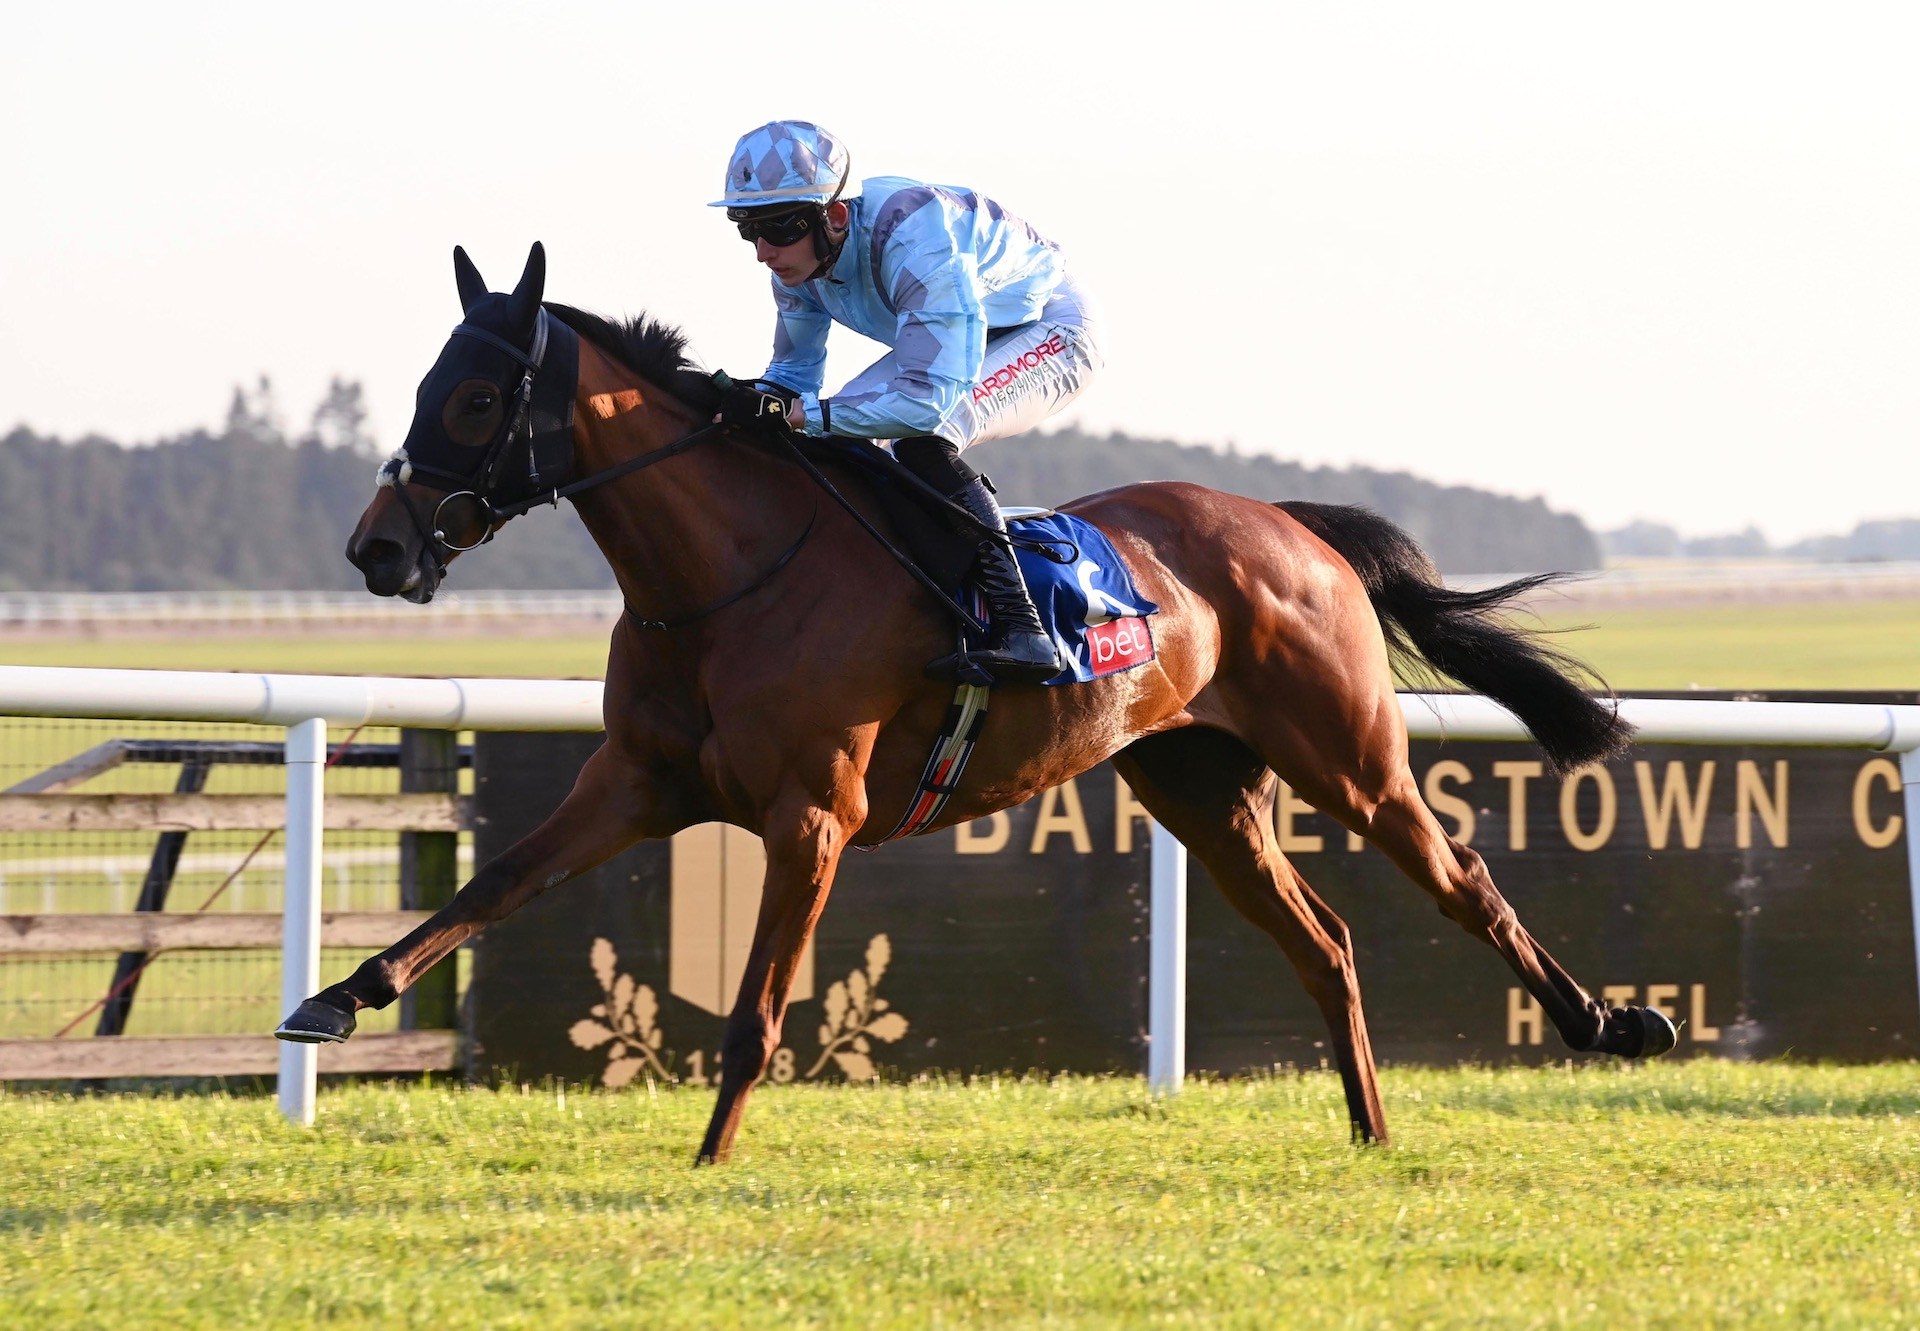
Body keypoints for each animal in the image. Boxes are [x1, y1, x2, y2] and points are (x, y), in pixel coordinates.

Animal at [278, 243, 1674, 1160]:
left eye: (474, 396)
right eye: (424, 385)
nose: (377, 548)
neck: (728, 575)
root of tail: (1291, 523)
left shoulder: (813, 816)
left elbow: (756, 1010)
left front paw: (711, 1158)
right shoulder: (635, 780)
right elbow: (487, 884)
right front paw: (335, 999)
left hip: (1350, 756)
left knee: (1463, 880)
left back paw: (1611, 1022)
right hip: (1200, 786)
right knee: (1324, 940)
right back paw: (1372, 1127)